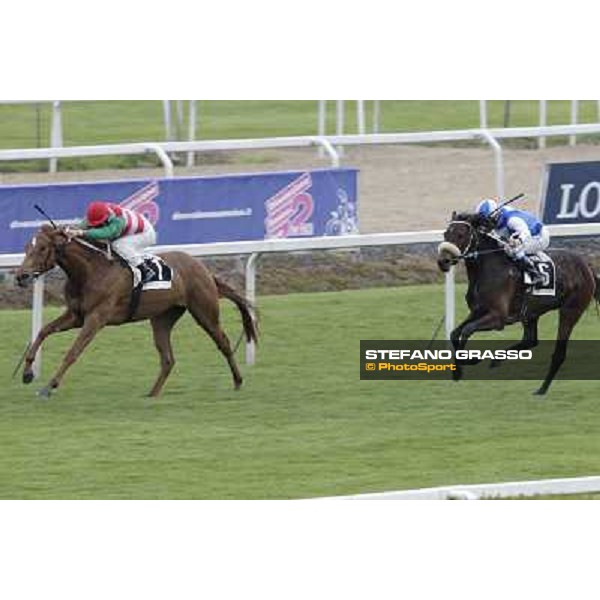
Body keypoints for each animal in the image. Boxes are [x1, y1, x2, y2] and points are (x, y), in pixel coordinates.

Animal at [14, 225, 258, 398]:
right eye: (26, 248)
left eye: (42, 248)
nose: (21, 276)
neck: (90, 271)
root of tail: (203, 268)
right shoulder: (76, 315)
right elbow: (43, 331)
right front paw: (27, 373)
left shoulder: (96, 318)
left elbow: (73, 352)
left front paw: (48, 387)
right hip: (162, 318)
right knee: (167, 359)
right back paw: (152, 394)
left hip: (204, 311)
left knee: (223, 342)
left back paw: (238, 381)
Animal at [436, 213, 600, 396]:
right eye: (445, 234)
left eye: (460, 235)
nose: (443, 261)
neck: (488, 268)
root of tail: (587, 266)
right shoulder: (478, 311)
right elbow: (454, 333)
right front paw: (457, 371)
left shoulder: (498, 318)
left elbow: (466, 330)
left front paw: (471, 360)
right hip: (531, 313)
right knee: (530, 341)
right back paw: (497, 361)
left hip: (570, 311)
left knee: (559, 353)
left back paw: (541, 389)